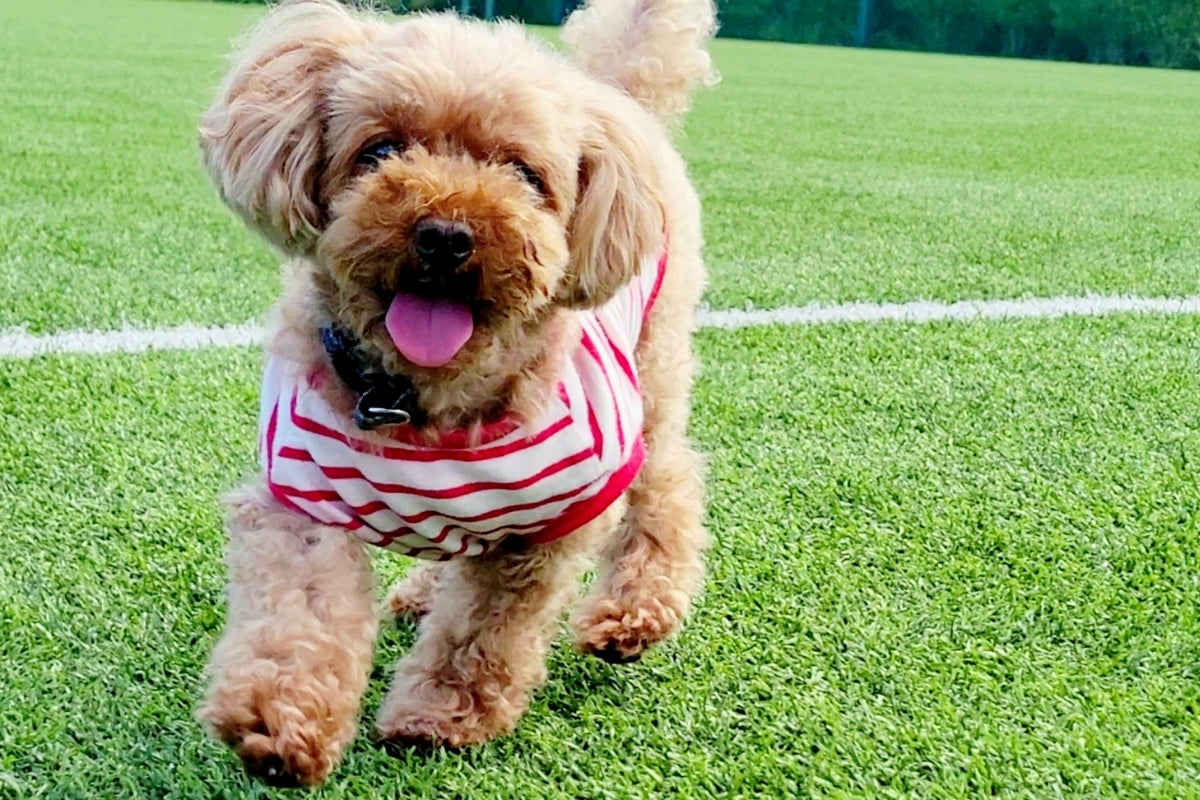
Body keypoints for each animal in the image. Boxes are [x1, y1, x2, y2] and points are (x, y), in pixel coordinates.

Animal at [196, 0, 716, 785]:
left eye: (523, 173)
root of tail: (618, 98)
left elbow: (482, 634)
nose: (445, 234)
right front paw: (279, 722)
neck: (418, 400)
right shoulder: (303, 498)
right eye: (380, 150)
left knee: (670, 487)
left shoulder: (546, 527)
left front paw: (439, 719)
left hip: (651, 378)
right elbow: (301, 613)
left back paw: (634, 615)